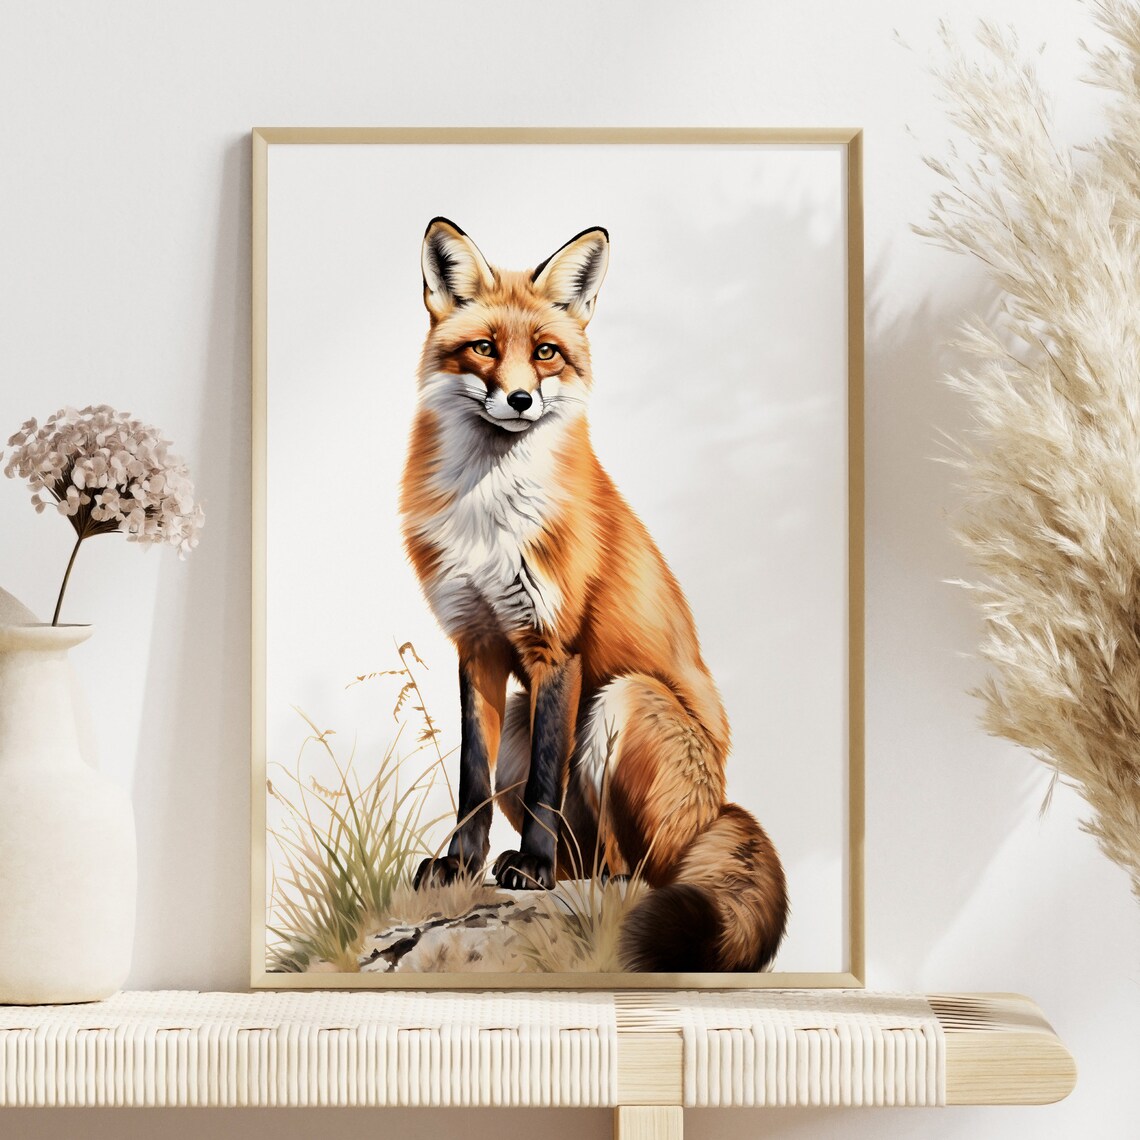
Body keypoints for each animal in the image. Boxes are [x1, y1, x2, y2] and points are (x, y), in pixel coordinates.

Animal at [399, 217, 788, 971]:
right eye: (484, 349)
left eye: (546, 354)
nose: (520, 400)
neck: (490, 518)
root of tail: (722, 805)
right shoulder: (477, 644)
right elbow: (471, 778)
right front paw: (460, 864)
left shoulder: (558, 649)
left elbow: (547, 783)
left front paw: (532, 867)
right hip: (521, 720)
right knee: (584, 852)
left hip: (621, 700)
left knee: (632, 869)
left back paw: (565, 873)